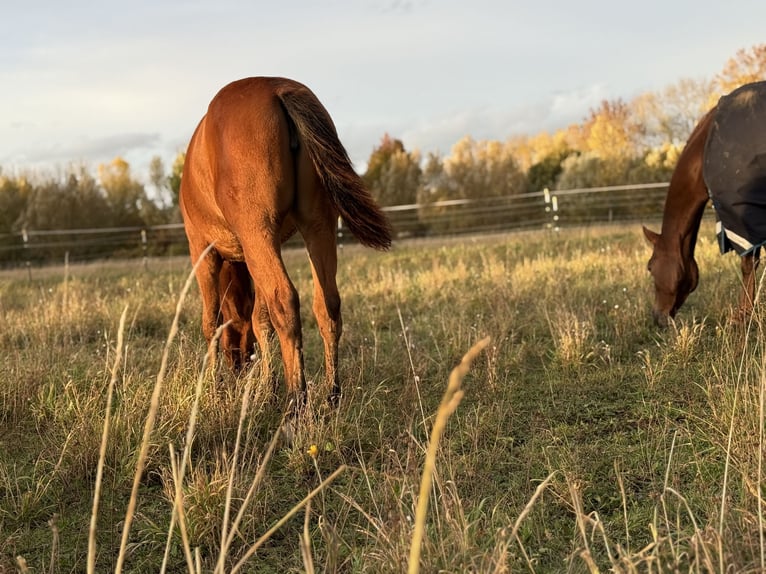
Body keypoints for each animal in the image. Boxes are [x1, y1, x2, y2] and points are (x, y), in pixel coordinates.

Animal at [180, 77, 393, 406]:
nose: (239, 366)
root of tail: (277, 89)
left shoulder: (204, 252)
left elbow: (212, 321)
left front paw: (213, 387)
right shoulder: (256, 251)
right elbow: (260, 318)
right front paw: (267, 387)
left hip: (258, 235)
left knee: (285, 301)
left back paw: (297, 401)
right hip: (317, 227)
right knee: (327, 304)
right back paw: (331, 395)